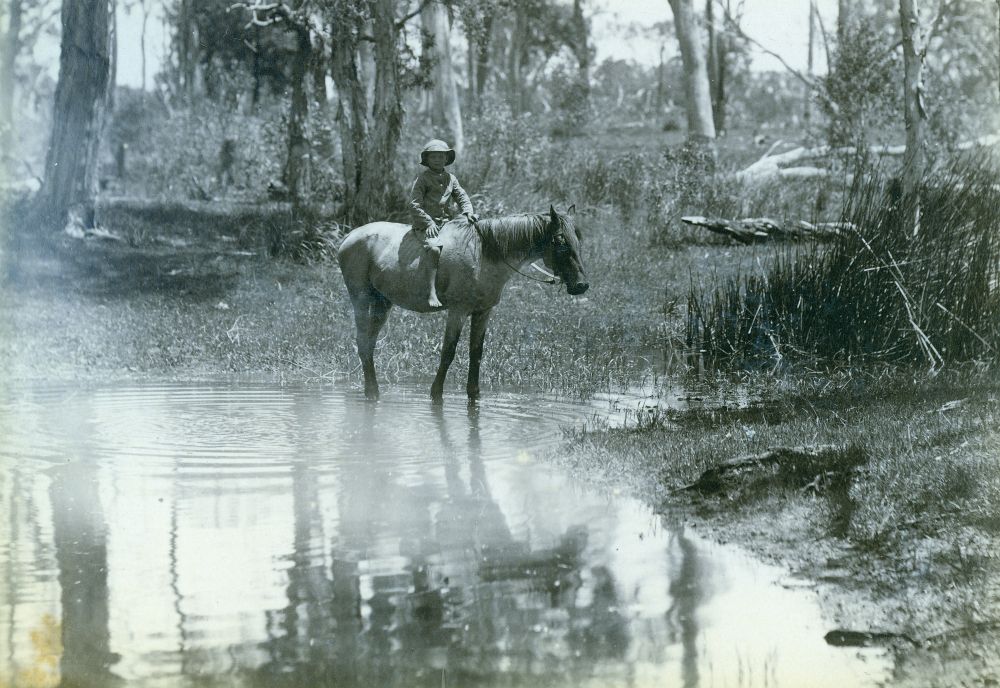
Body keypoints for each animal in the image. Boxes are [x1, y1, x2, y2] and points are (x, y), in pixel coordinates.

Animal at [337, 205, 588, 401]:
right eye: (560, 242)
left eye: (578, 241)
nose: (581, 285)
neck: (483, 254)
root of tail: (349, 238)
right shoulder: (458, 312)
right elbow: (448, 352)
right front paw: (436, 393)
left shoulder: (483, 312)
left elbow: (476, 353)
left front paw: (474, 394)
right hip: (361, 298)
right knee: (363, 341)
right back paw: (372, 393)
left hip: (382, 303)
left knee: (369, 343)